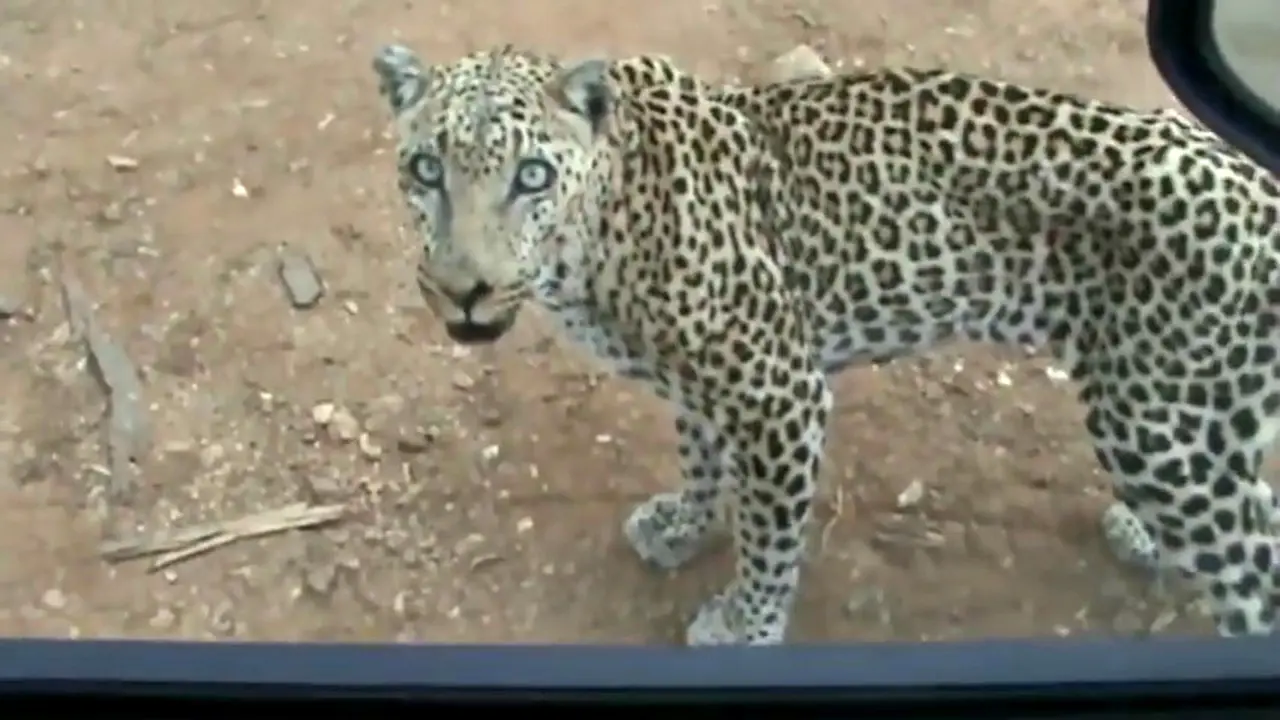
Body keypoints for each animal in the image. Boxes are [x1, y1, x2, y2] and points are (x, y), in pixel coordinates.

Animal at [371, 43, 1280, 644]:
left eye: (531, 176)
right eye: (425, 170)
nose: (464, 287)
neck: (601, 232)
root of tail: (1256, 184)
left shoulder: (781, 396)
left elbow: (770, 537)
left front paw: (745, 626)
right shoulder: (705, 386)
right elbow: (700, 458)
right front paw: (683, 525)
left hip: (1159, 431)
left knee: (1255, 570)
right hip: (1205, 422)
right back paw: (1145, 535)